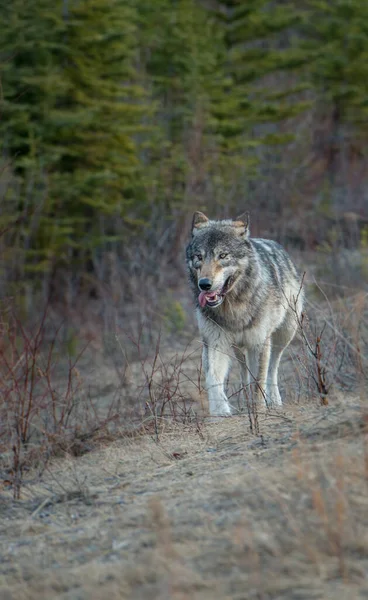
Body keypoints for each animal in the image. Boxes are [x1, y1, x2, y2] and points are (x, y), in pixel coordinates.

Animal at [185, 212, 304, 418]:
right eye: (199, 256)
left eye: (223, 255)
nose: (204, 284)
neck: (233, 308)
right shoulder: (215, 342)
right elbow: (213, 378)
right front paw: (220, 412)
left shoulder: (259, 343)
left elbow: (259, 380)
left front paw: (258, 409)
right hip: (238, 348)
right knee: (243, 371)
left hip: (284, 335)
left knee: (273, 367)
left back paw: (274, 401)